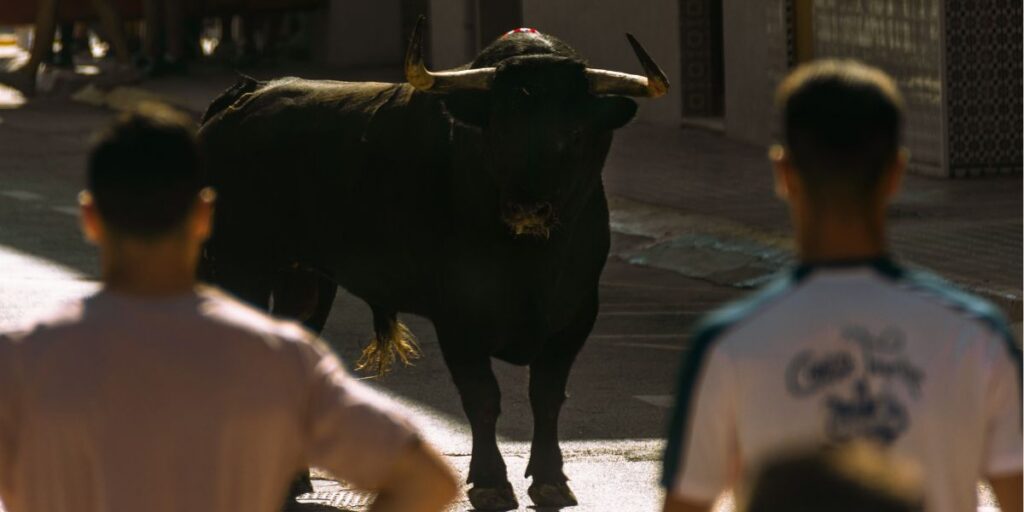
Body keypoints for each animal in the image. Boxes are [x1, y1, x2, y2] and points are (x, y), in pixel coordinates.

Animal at [197, 17, 668, 510]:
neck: (531, 260)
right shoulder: (458, 315)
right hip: (240, 265)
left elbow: (547, 395)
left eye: (575, 133)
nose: (528, 208)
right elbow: (482, 396)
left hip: (304, 280)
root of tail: (246, 95)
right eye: (497, 130)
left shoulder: (575, 313)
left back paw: (293, 481)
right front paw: (490, 482)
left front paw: (551, 478)